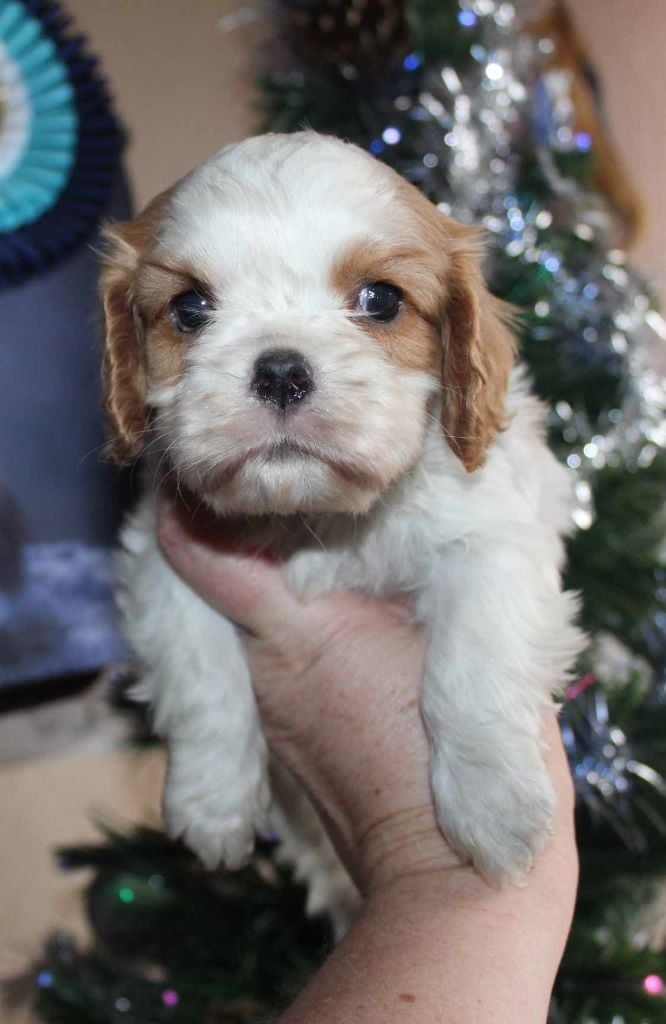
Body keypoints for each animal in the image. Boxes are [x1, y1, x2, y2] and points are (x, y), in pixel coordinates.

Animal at [101, 131, 583, 912]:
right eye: (190, 307)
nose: (280, 371)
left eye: (380, 300)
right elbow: (201, 672)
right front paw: (214, 803)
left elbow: (468, 669)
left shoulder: (496, 538)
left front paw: (493, 808)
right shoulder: (160, 555)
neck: (315, 517)